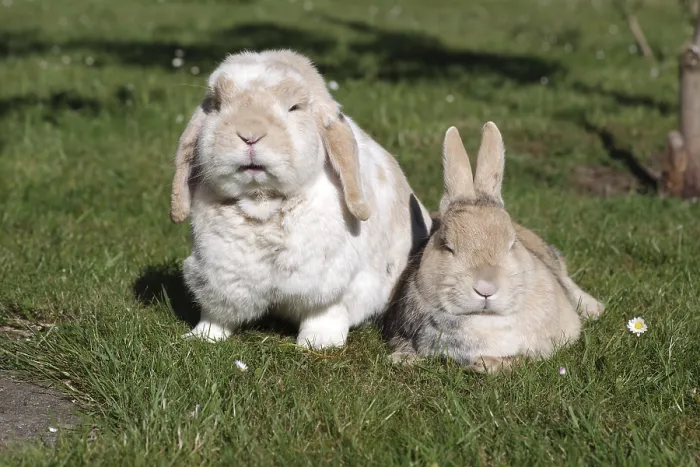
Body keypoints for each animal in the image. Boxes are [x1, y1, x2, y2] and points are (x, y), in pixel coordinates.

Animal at [169, 49, 433, 349]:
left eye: (294, 107)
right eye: (216, 106)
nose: (249, 135)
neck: (263, 203)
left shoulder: (331, 282)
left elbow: (325, 312)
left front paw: (318, 342)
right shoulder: (220, 275)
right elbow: (217, 313)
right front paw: (202, 337)